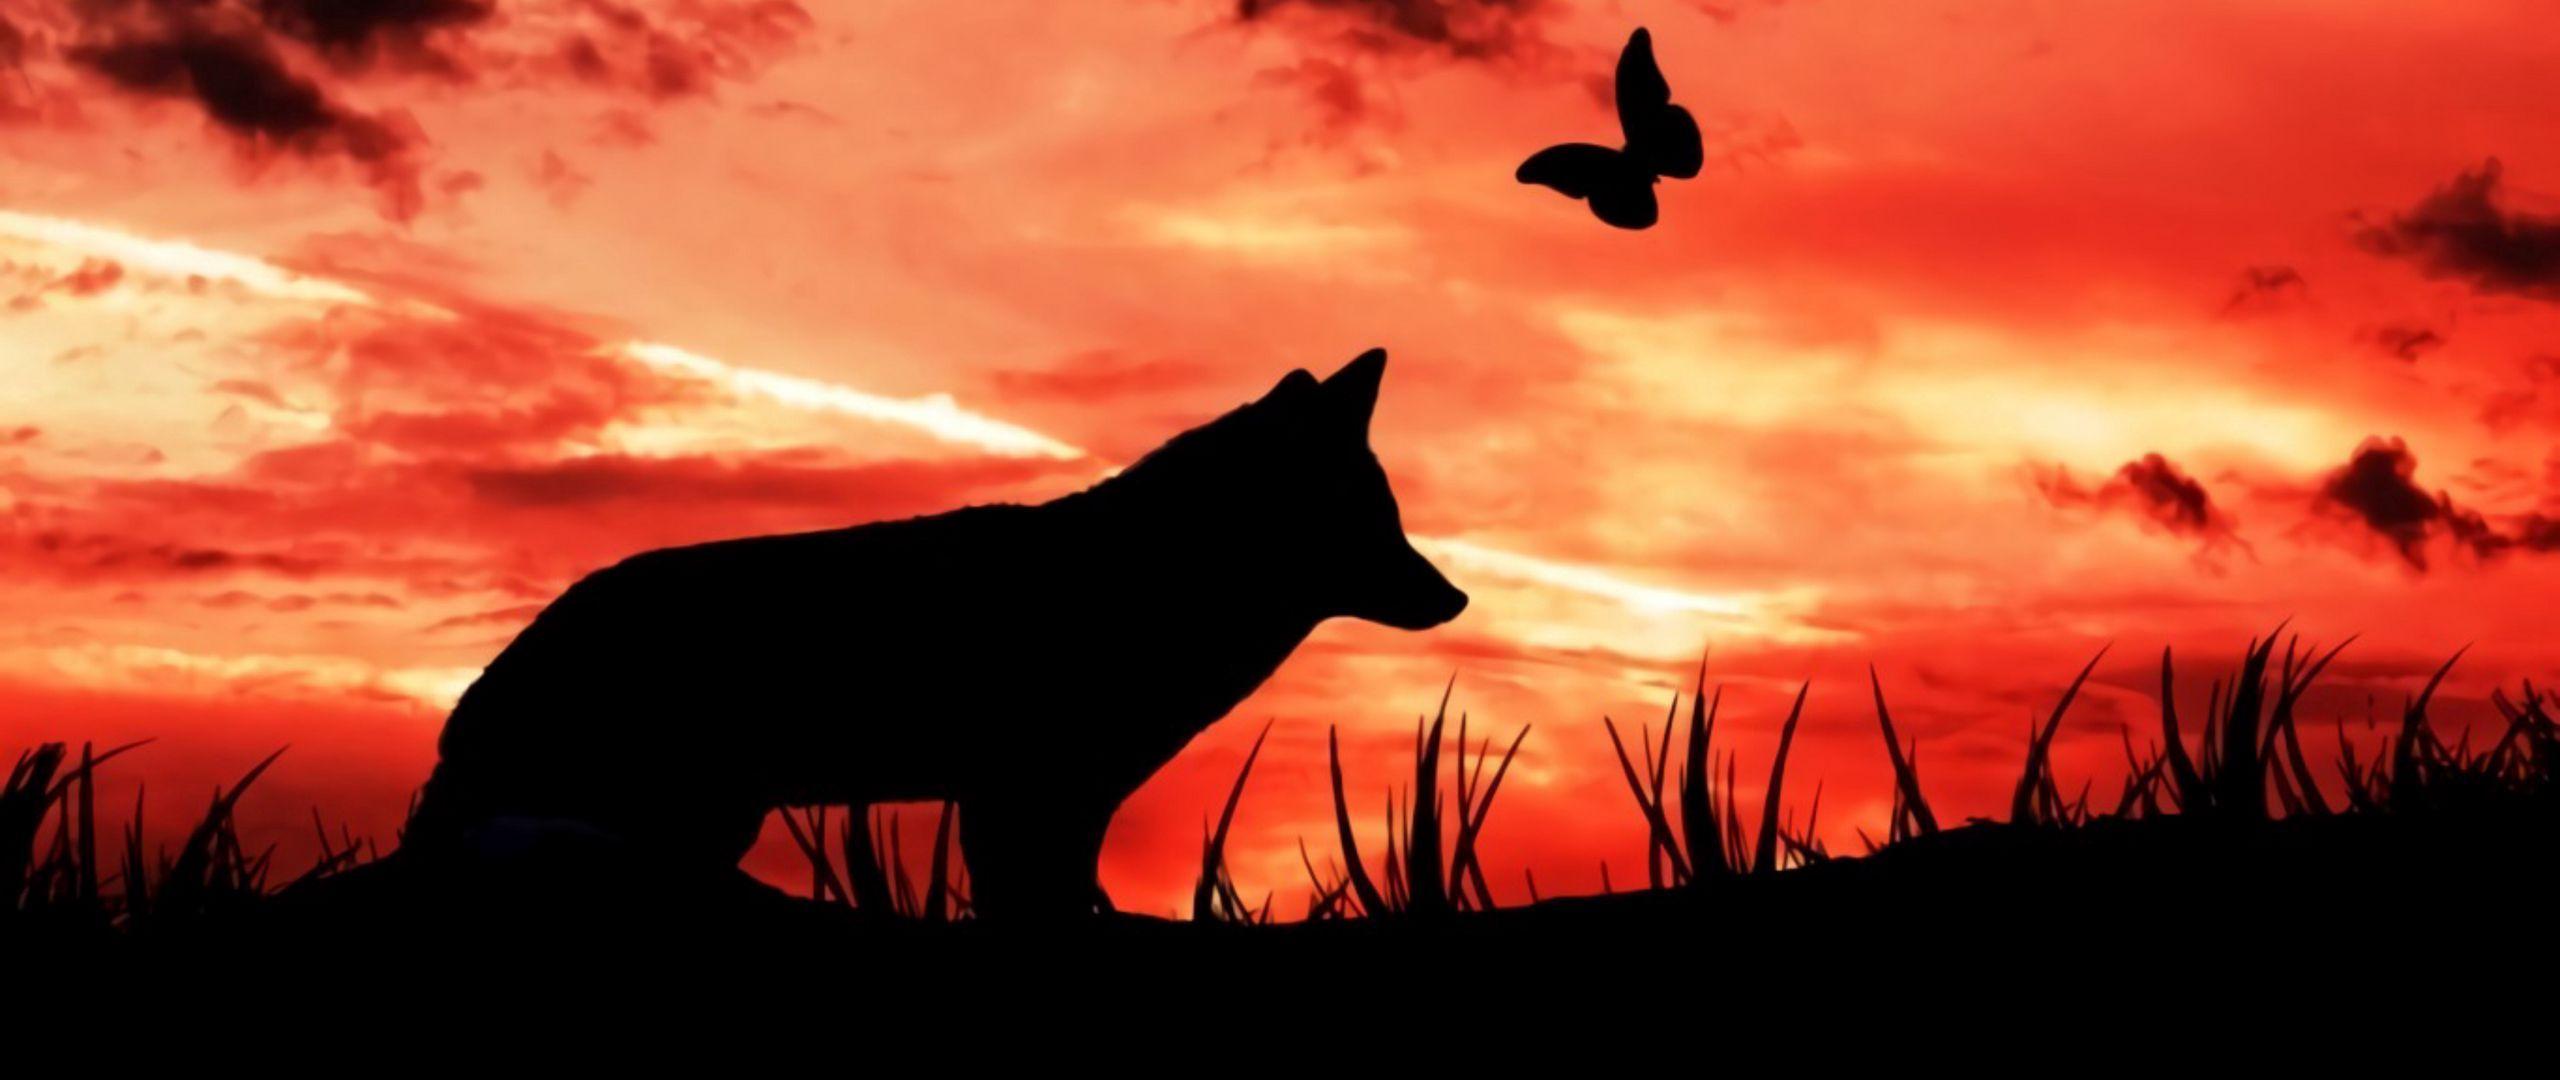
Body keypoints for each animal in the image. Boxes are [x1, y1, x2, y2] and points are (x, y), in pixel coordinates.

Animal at [401, 348, 1466, 918]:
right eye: (1374, 519)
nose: (1454, 599)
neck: (1150, 581)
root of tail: (469, 709)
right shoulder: (1021, 794)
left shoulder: (1065, 804)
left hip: (714, 818)